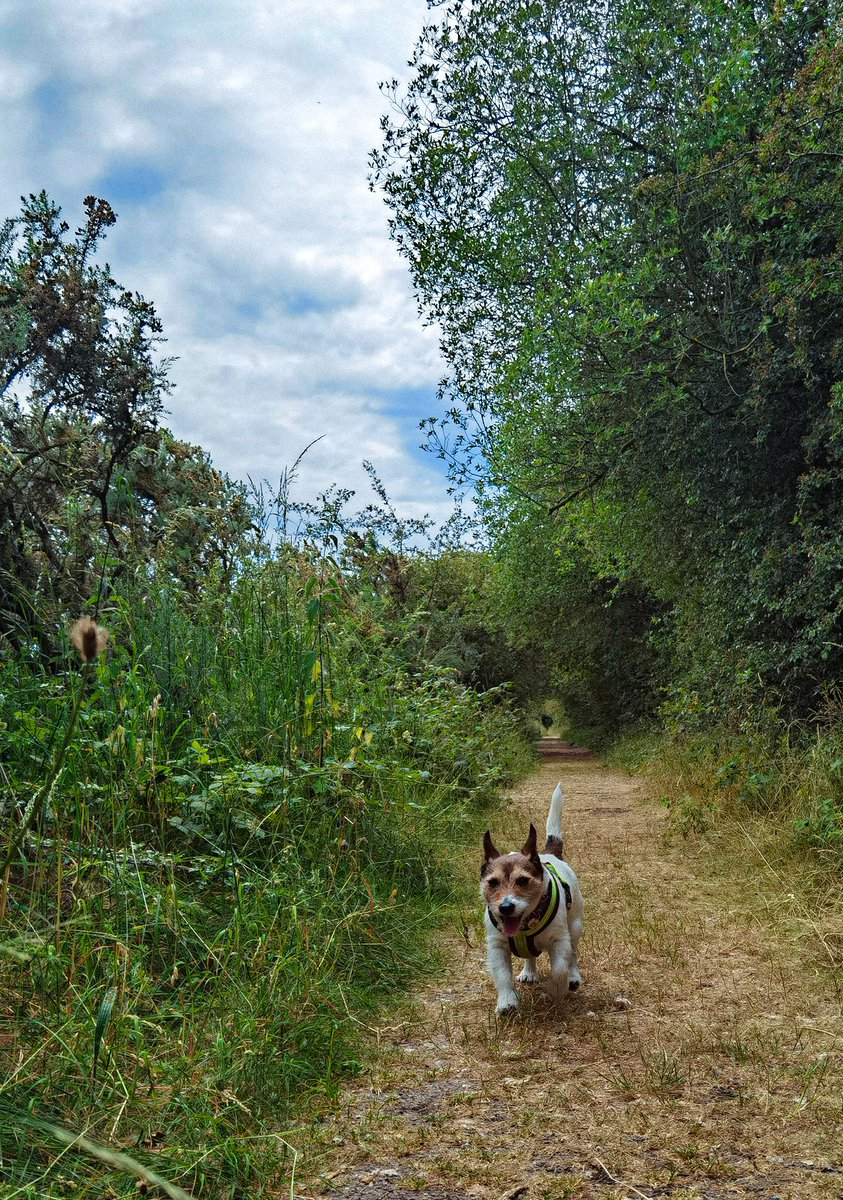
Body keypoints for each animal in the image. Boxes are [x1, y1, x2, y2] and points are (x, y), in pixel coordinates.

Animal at [482, 787, 588, 1012]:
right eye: (493, 882)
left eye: (523, 880)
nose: (505, 907)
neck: (525, 925)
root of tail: (550, 854)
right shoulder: (497, 946)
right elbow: (503, 975)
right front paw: (507, 1001)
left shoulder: (560, 940)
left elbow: (560, 969)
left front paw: (556, 991)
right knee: (530, 956)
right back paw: (529, 972)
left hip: (575, 926)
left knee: (573, 955)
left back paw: (573, 977)